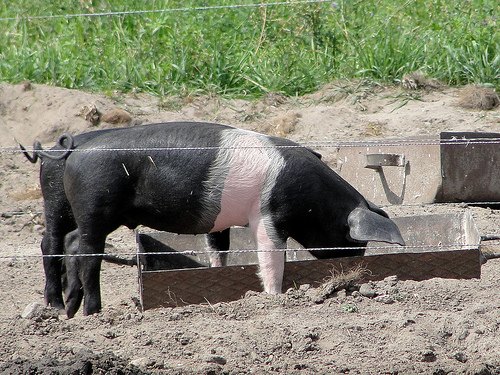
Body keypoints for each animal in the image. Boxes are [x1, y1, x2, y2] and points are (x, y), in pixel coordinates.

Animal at [54, 121, 404, 318]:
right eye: (349, 238)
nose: (353, 268)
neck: (316, 200)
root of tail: (75, 153)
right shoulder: (268, 217)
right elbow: (271, 256)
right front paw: (275, 297)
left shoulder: (220, 222)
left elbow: (218, 250)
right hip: (96, 205)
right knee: (88, 255)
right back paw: (93, 312)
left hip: (92, 216)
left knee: (72, 243)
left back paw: (70, 311)